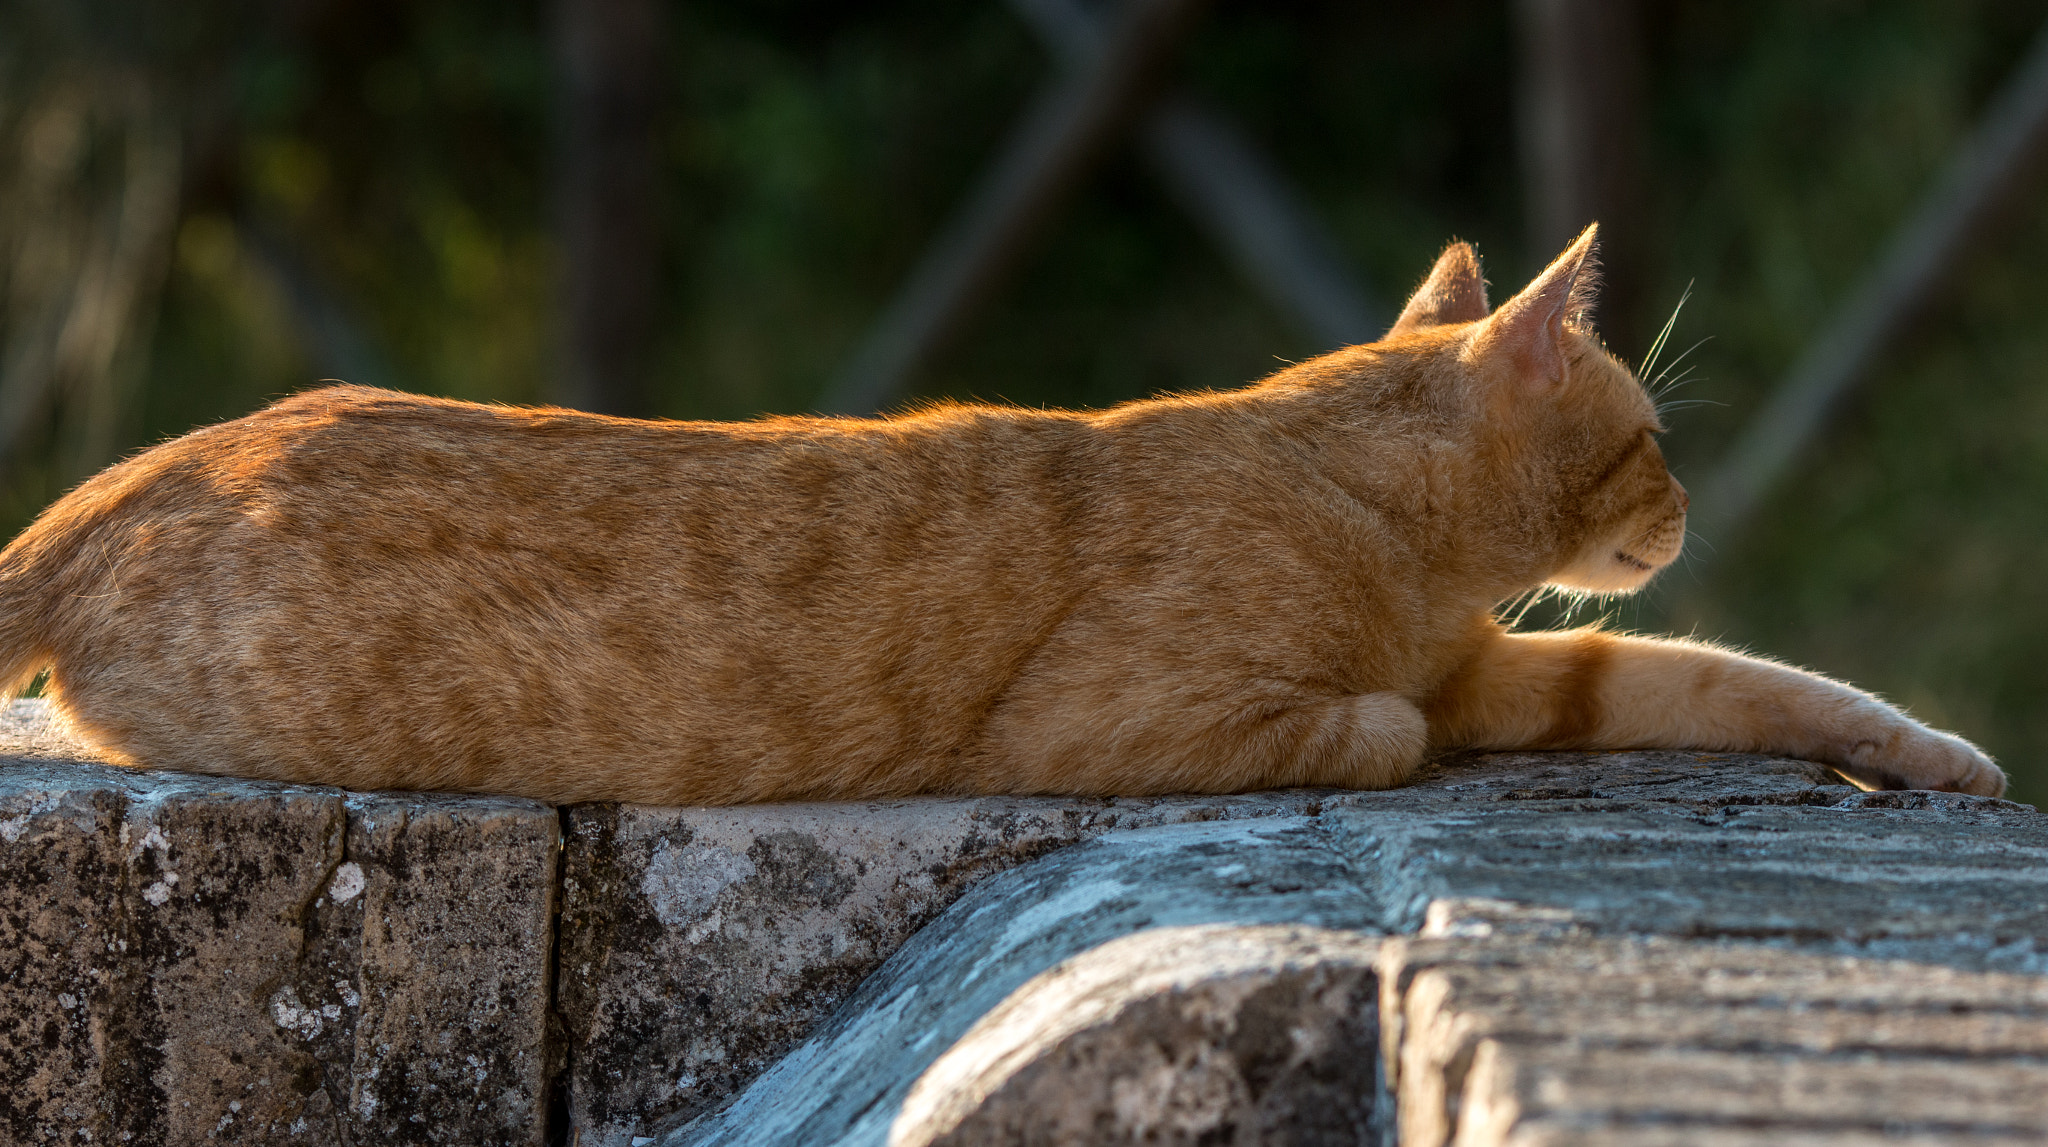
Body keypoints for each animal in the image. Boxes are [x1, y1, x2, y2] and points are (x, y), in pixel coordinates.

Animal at [0, 228, 1998, 802]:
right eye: (1648, 436)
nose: (1687, 498)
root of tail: (136, 468)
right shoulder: (1137, 716)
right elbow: (1378, 729)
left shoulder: (1517, 670)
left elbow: (1731, 674)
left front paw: (1946, 755)